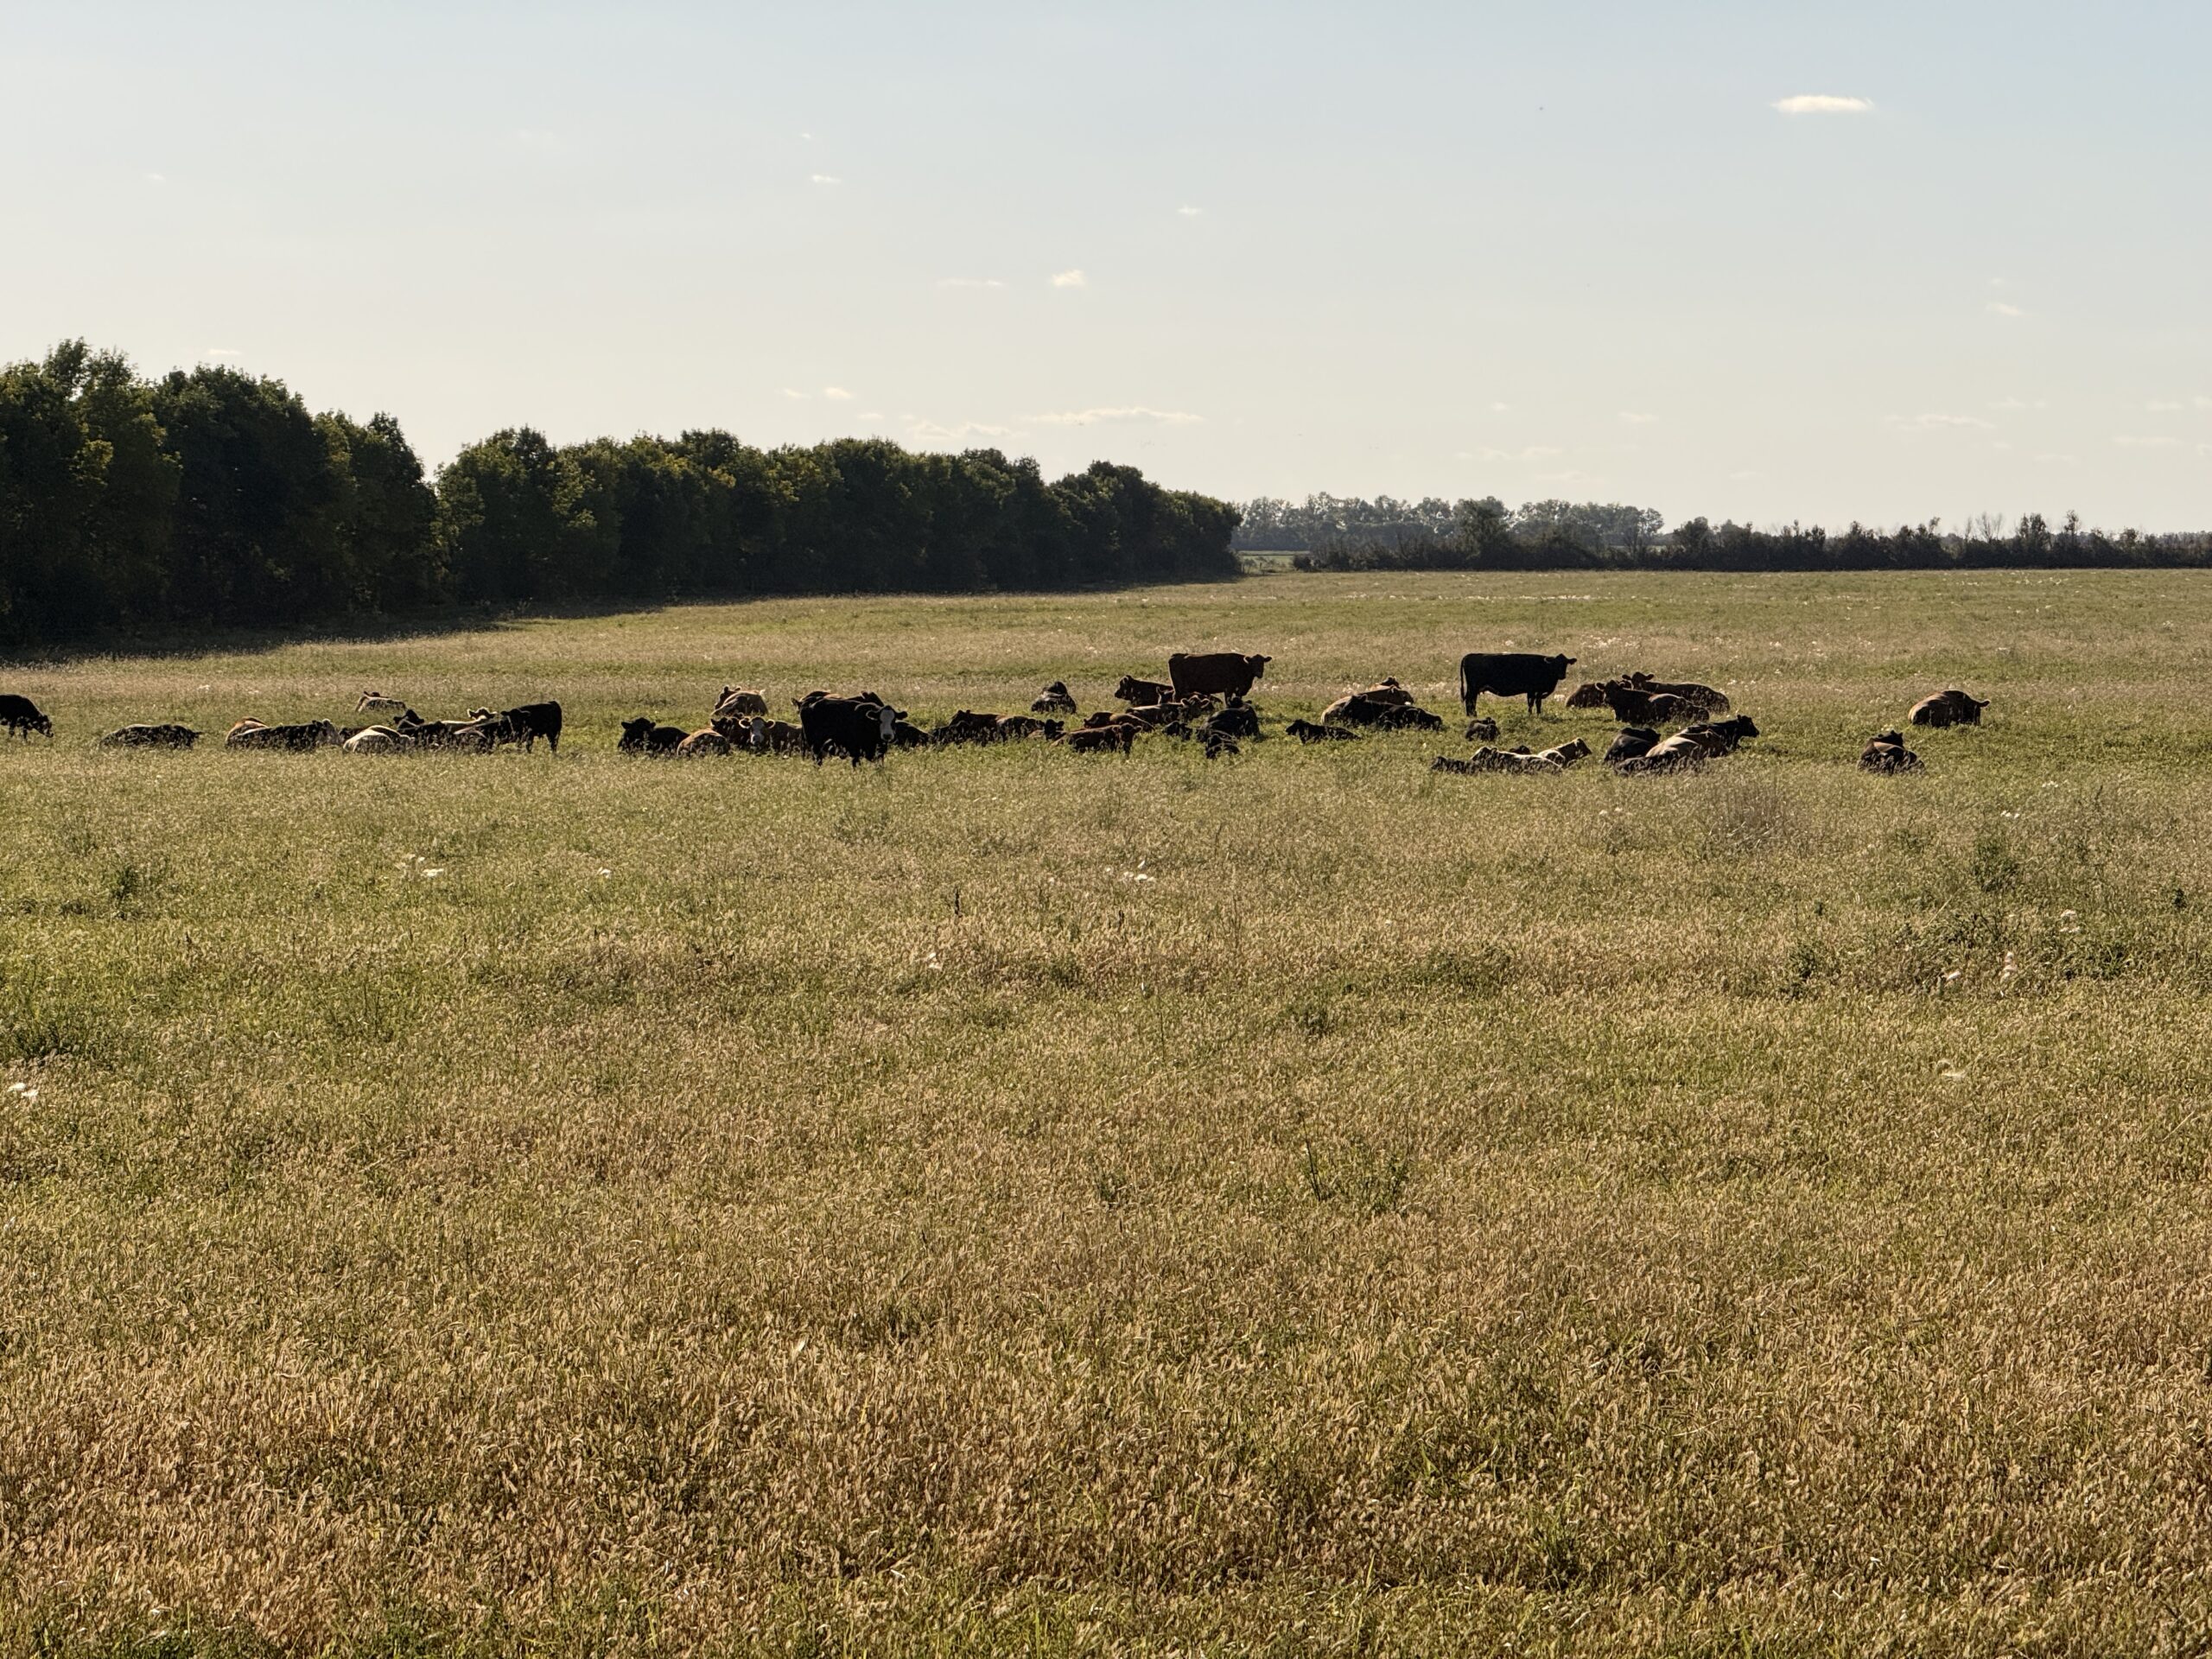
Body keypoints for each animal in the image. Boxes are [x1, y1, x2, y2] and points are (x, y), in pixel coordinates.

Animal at [1458, 652, 1576, 715]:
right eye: (1556, 664)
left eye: (1565, 664)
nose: (1562, 675)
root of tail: (1469, 655)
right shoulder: (1532, 690)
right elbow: (1531, 703)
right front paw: (1532, 714)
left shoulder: (1536, 691)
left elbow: (1536, 703)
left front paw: (1537, 714)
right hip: (1473, 687)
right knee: (1470, 700)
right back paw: (1471, 715)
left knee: (1471, 700)